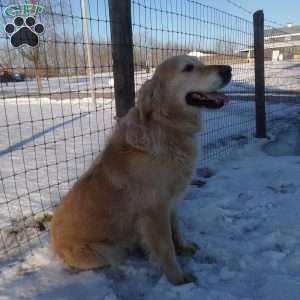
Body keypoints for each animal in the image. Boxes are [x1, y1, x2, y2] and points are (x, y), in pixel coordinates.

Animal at [50, 55, 232, 284]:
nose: (228, 69)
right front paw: (177, 277)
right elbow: (166, 247)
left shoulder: (171, 205)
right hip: (109, 252)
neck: (167, 127)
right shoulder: (155, 210)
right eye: (188, 68)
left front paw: (183, 248)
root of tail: (54, 243)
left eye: (199, 63)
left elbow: (176, 231)